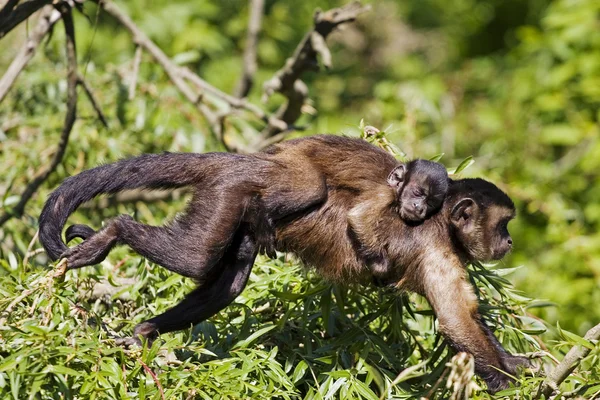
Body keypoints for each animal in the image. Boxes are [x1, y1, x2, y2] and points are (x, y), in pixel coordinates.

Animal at [38, 134, 528, 390]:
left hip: (230, 201)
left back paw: (145, 331)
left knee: (228, 281)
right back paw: (114, 233)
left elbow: (468, 320)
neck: (440, 219)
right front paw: (513, 383)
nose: (507, 240)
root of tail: (246, 161)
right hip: (233, 187)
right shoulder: (433, 244)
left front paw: (519, 365)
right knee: (195, 257)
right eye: (503, 224)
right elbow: (457, 321)